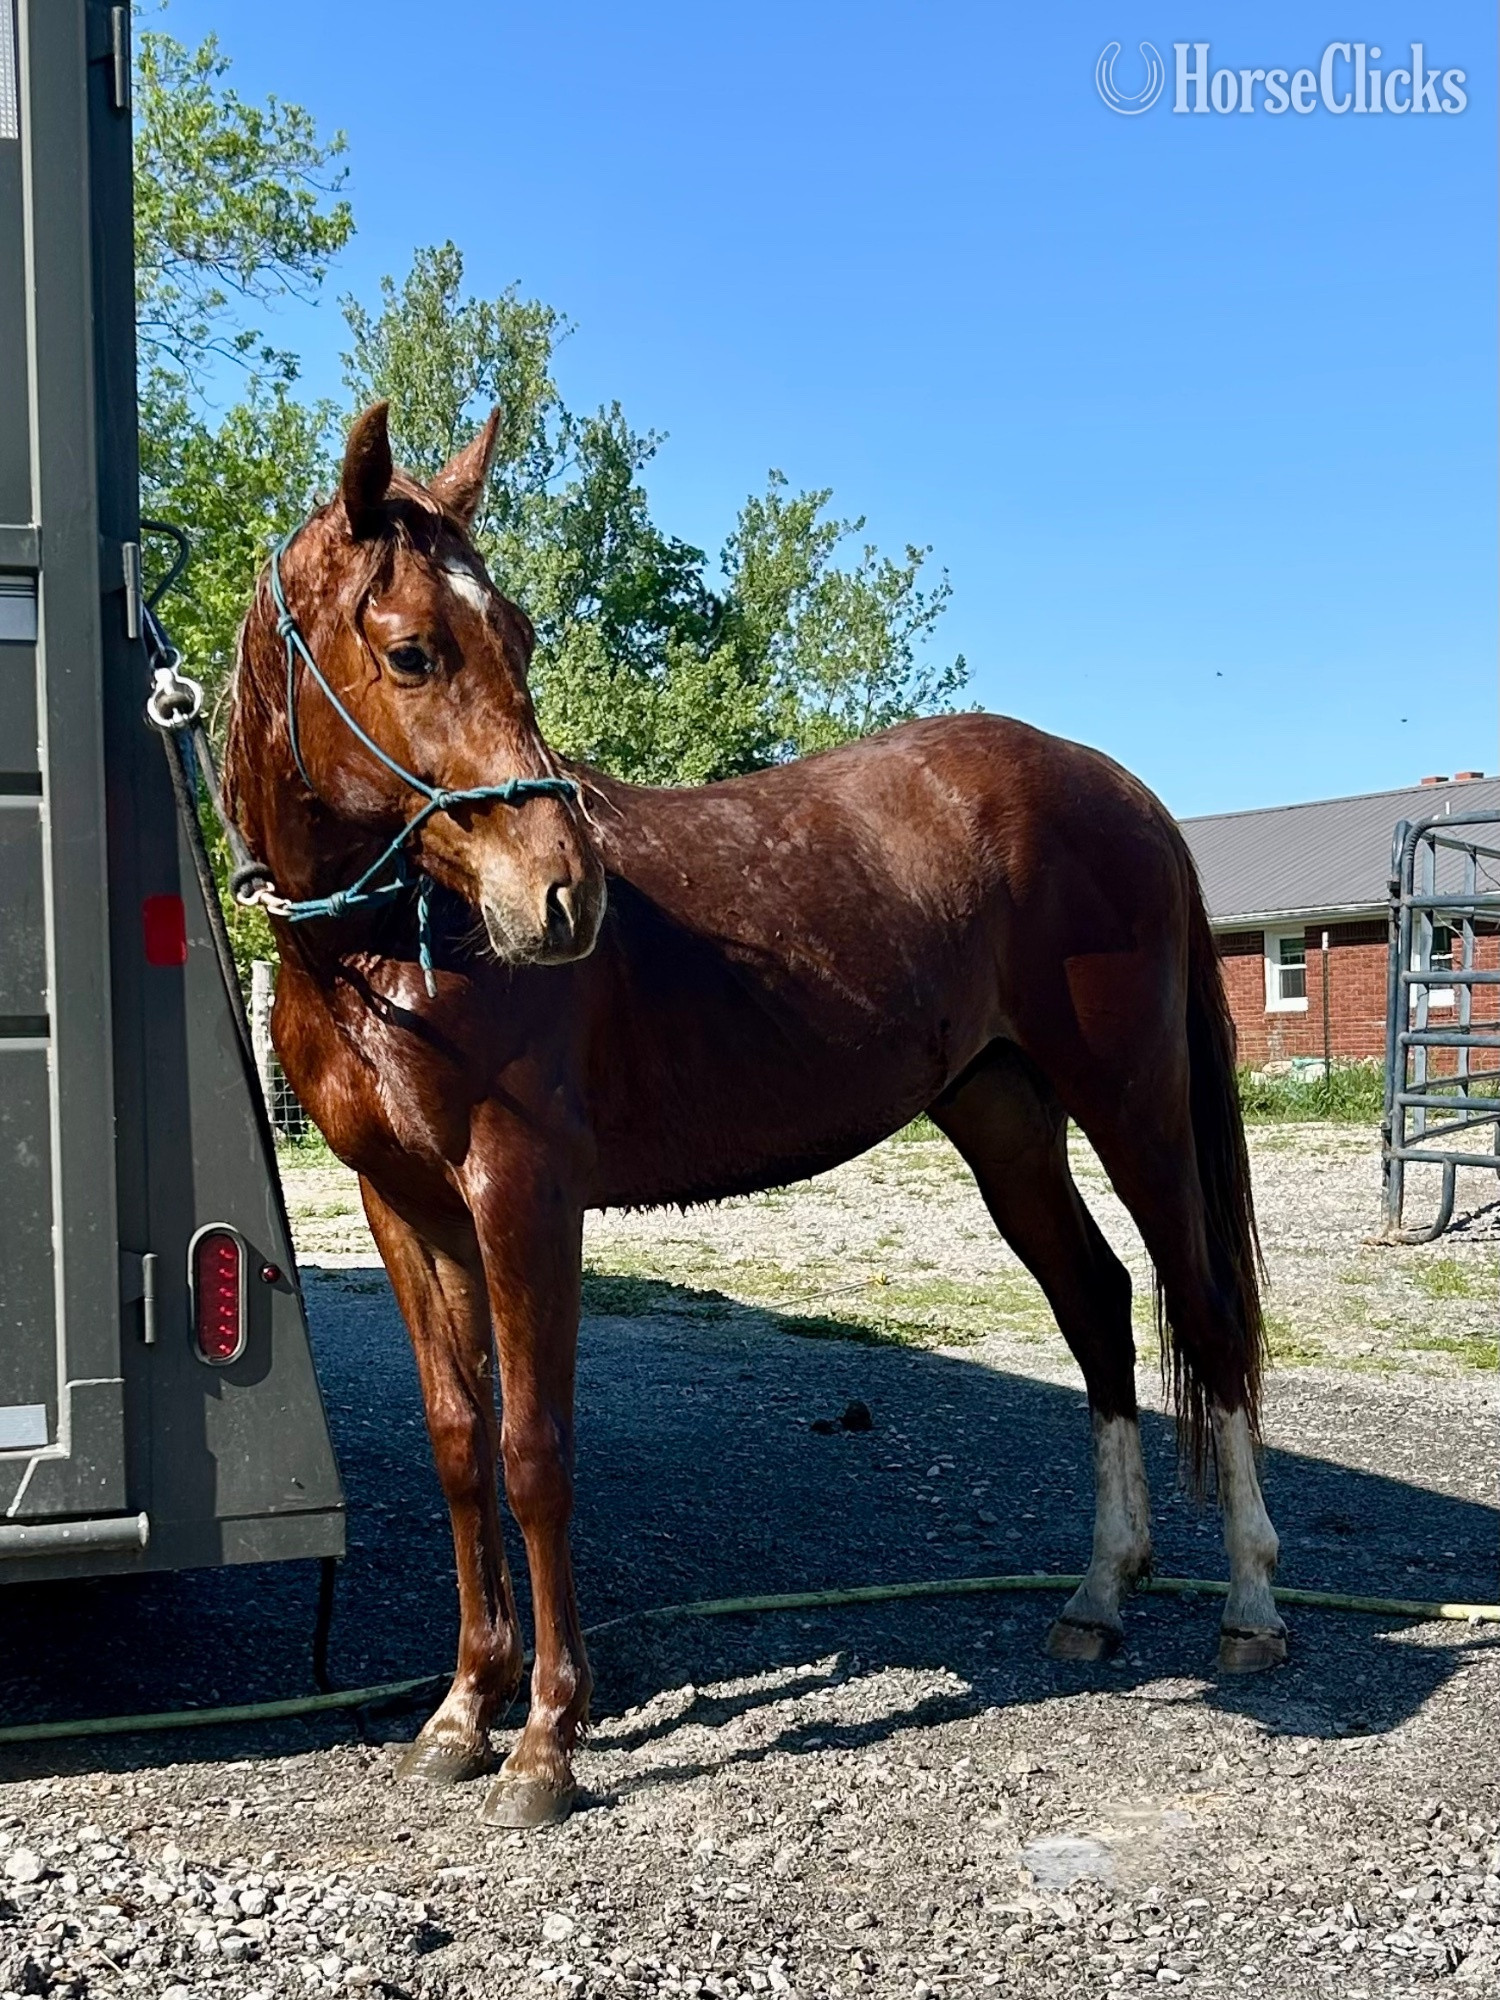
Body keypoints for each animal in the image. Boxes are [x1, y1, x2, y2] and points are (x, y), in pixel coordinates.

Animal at [223, 401, 1286, 1830]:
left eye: (522, 635)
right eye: (411, 650)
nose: (564, 894)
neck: (396, 944)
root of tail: (1123, 790)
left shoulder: (524, 1192)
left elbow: (534, 1448)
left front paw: (546, 1739)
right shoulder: (406, 1205)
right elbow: (456, 1441)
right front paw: (460, 1711)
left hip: (1136, 1107)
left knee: (1210, 1314)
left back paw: (1252, 1609)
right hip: (1003, 1117)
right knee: (1099, 1304)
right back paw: (1100, 1594)